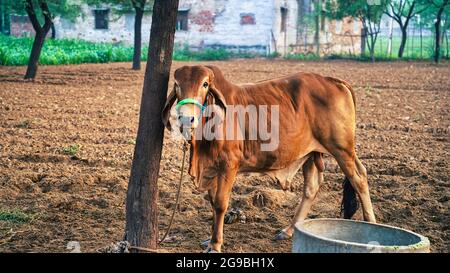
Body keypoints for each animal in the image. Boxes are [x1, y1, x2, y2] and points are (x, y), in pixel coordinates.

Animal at [162, 65, 376, 252]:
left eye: (205, 84)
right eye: (176, 84)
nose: (186, 119)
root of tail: (333, 80)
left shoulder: (228, 165)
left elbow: (221, 204)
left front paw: (215, 245)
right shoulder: (212, 168)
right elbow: (213, 203)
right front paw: (210, 239)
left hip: (342, 149)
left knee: (359, 178)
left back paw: (372, 224)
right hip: (310, 154)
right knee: (312, 187)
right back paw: (289, 230)